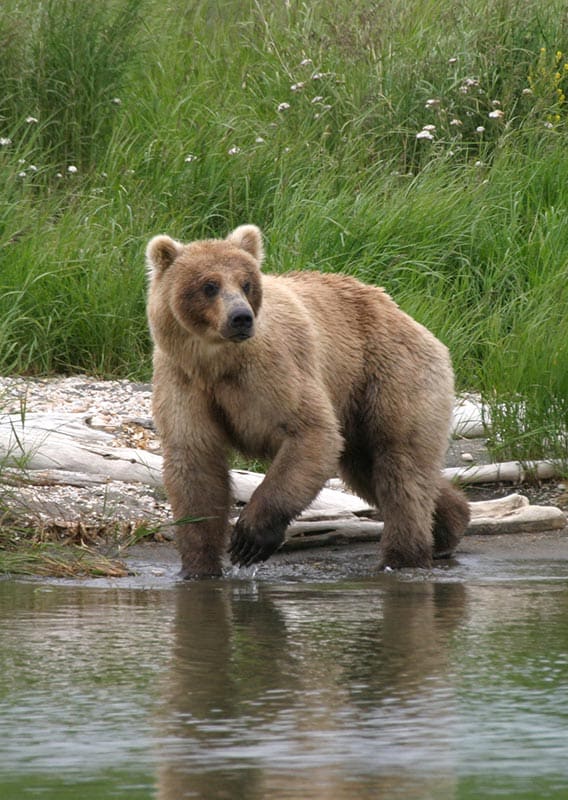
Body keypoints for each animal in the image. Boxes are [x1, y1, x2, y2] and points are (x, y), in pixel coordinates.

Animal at [146, 222, 470, 580]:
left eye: (246, 283)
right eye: (209, 285)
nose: (241, 317)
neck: (216, 363)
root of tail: (408, 318)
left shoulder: (273, 370)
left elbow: (310, 432)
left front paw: (250, 538)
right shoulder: (183, 381)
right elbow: (195, 462)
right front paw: (199, 567)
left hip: (389, 375)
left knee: (400, 466)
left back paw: (402, 557)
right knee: (371, 468)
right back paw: (449, 526)